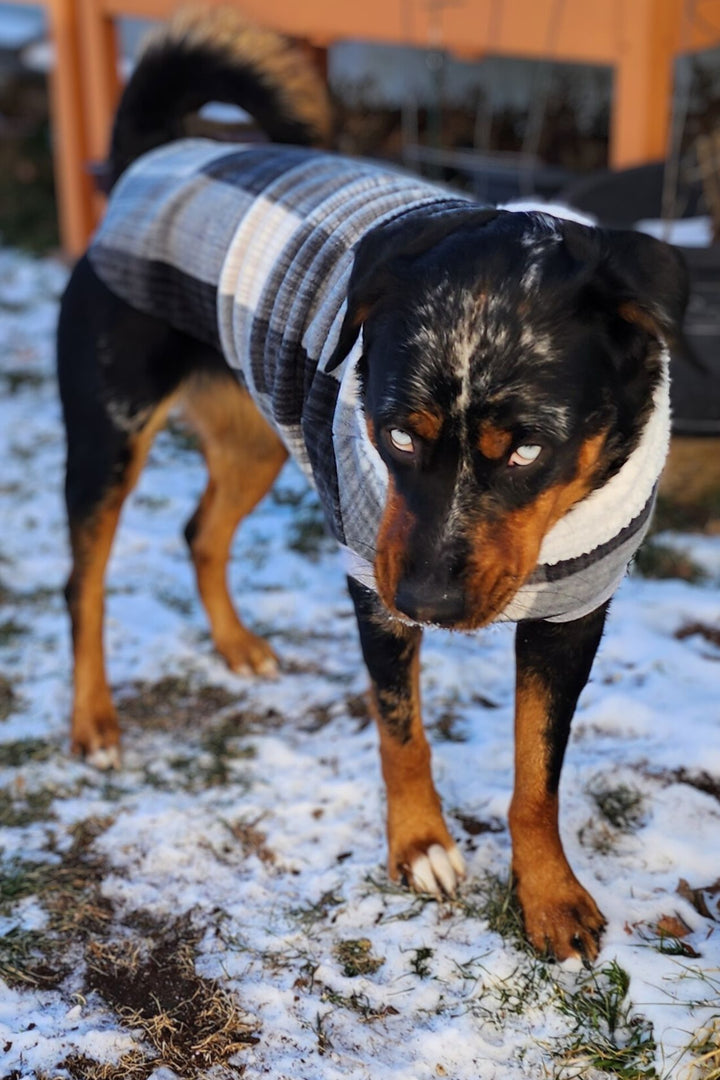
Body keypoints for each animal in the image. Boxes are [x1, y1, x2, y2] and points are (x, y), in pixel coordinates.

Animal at [56, 8, 686, 963]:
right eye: (394, 435)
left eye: (527, 451)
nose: (428, 600)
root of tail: (153, 156)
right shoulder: (374, 584)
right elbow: (402, 732)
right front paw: (421, 845)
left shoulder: (575, 613)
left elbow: (537, 772)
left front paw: (548, 896)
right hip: (110, 435)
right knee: (85, 581)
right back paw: (94, 721)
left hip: (257, 438)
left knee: (201, 532)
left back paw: (238, 647)